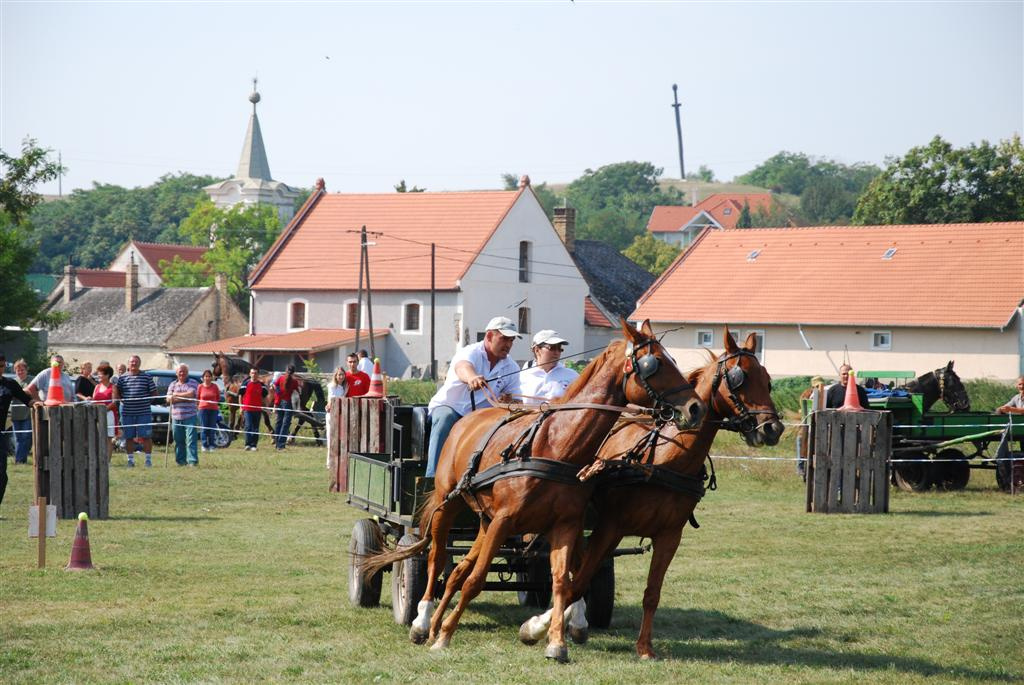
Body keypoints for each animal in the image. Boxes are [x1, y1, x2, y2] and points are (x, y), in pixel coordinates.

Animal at [364, 317, 708, 659]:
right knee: (436, 557)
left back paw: (435, 623)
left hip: (485, 520)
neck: (556, 446)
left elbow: (562, 581)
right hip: (448, 505)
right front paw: (446, 635)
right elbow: (476, 581)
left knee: (460, 568)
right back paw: (423, 623)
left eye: (674, 360)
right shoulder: (505, 521)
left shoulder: (565, 524)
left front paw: (555, 642)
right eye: (655, 363)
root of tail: (469, 418)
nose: (696, 408)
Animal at [520, 327, 782, 659]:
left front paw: (644, 647)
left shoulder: (670, 536)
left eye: (767, 378)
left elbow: (651, 593)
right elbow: (577, 582)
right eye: (739, 378)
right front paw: (537, 628)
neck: (662, 462)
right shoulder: (610, 527)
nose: (772, 428)